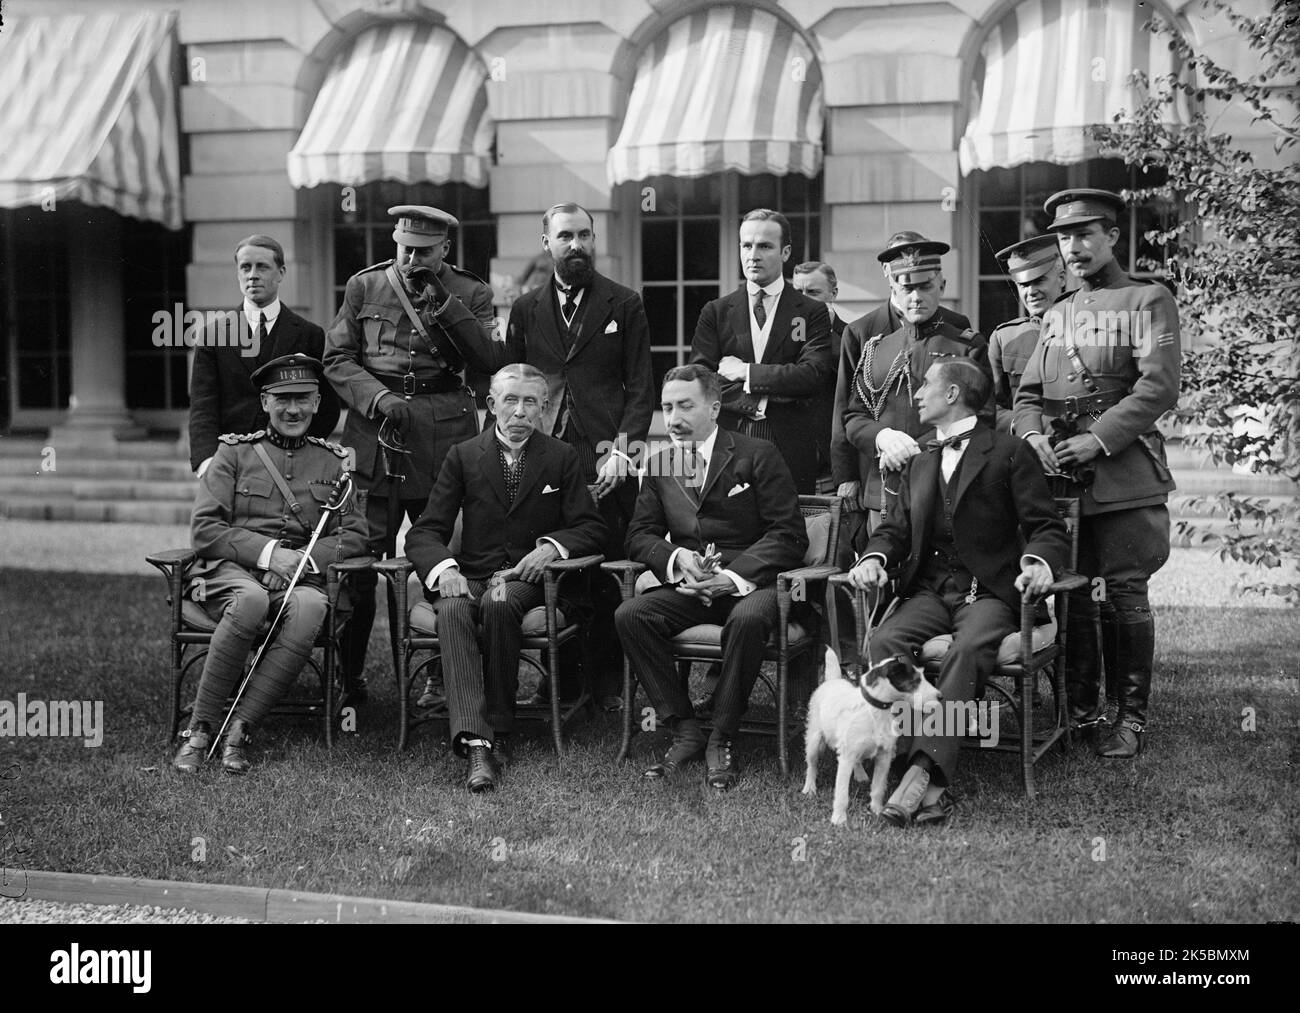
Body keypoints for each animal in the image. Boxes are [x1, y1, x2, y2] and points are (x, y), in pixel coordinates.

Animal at [795, 650, 941, 821]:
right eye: (916, 680)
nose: (940, 696)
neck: (876, 709)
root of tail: (832, 681)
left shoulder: (884, 756)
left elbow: (878, 787)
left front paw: (877, 810)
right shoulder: (846, 757)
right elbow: (842, 793)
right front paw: (839, 818)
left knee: (857, 761)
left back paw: (860, 774)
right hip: (814, 739)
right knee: (812, 764)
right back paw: (809, 787)